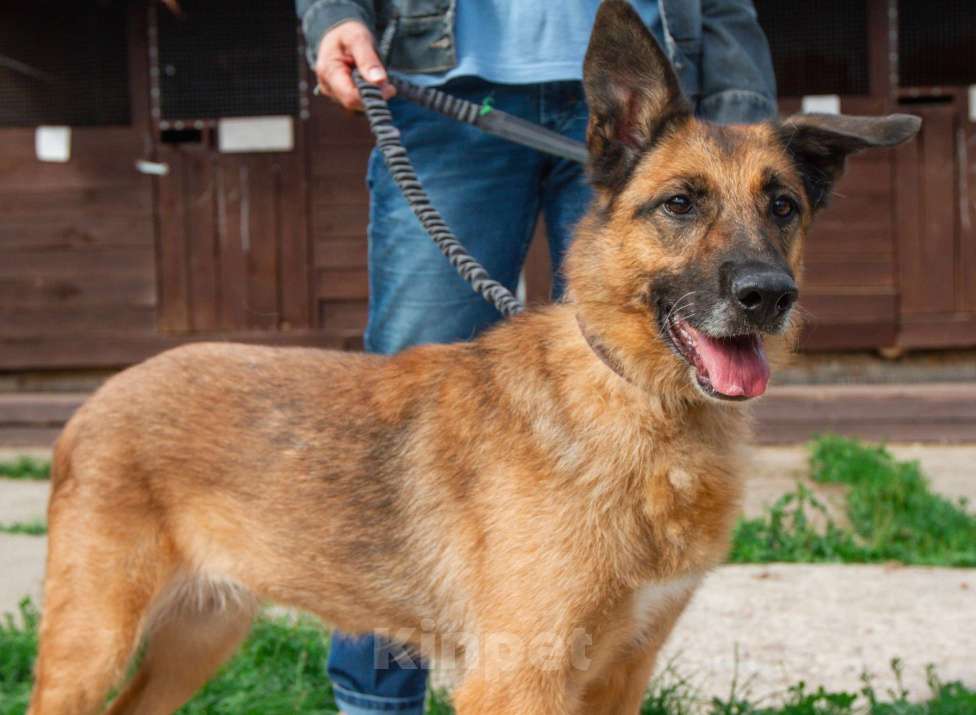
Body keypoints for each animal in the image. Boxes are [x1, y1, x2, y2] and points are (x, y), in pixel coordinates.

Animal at [26, 2, 920, 712]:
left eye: (784, 207)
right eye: (679, 204)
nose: (770, 296)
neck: (641, 405)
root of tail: (103, 395)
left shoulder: (618, 677)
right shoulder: (518, 679)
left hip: (200, 634)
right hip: (92, 645)